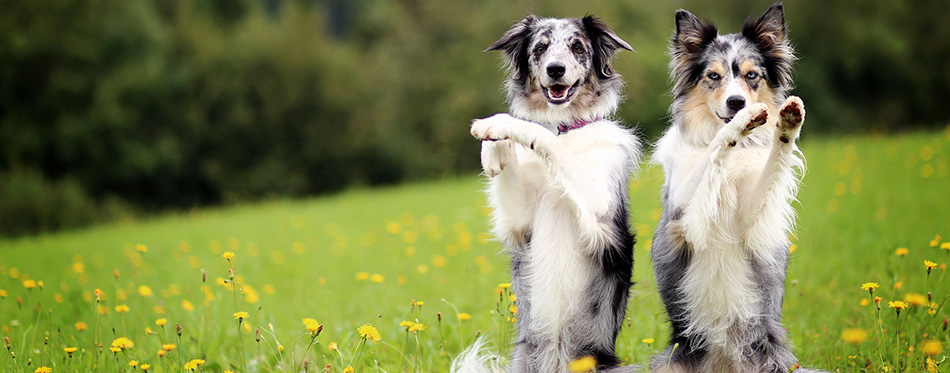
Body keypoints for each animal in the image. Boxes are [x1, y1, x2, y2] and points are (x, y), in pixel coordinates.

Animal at [456, 15, 640, 372]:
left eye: (577, 47)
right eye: (539, 49)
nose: (556, 69)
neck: (566, 127)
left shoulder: (599, 211)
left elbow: (541, 134)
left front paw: (497, 124)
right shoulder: (519, 224)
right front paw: (494, 150)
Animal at [656, 5, 824, 372]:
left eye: (752, 76)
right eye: (713, 76)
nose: (737, 103)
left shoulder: (751, 216)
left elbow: (775, 160)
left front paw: (787, 123)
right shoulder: (685, 220)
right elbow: (713, 151)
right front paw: (737, 124)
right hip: (672, 360)